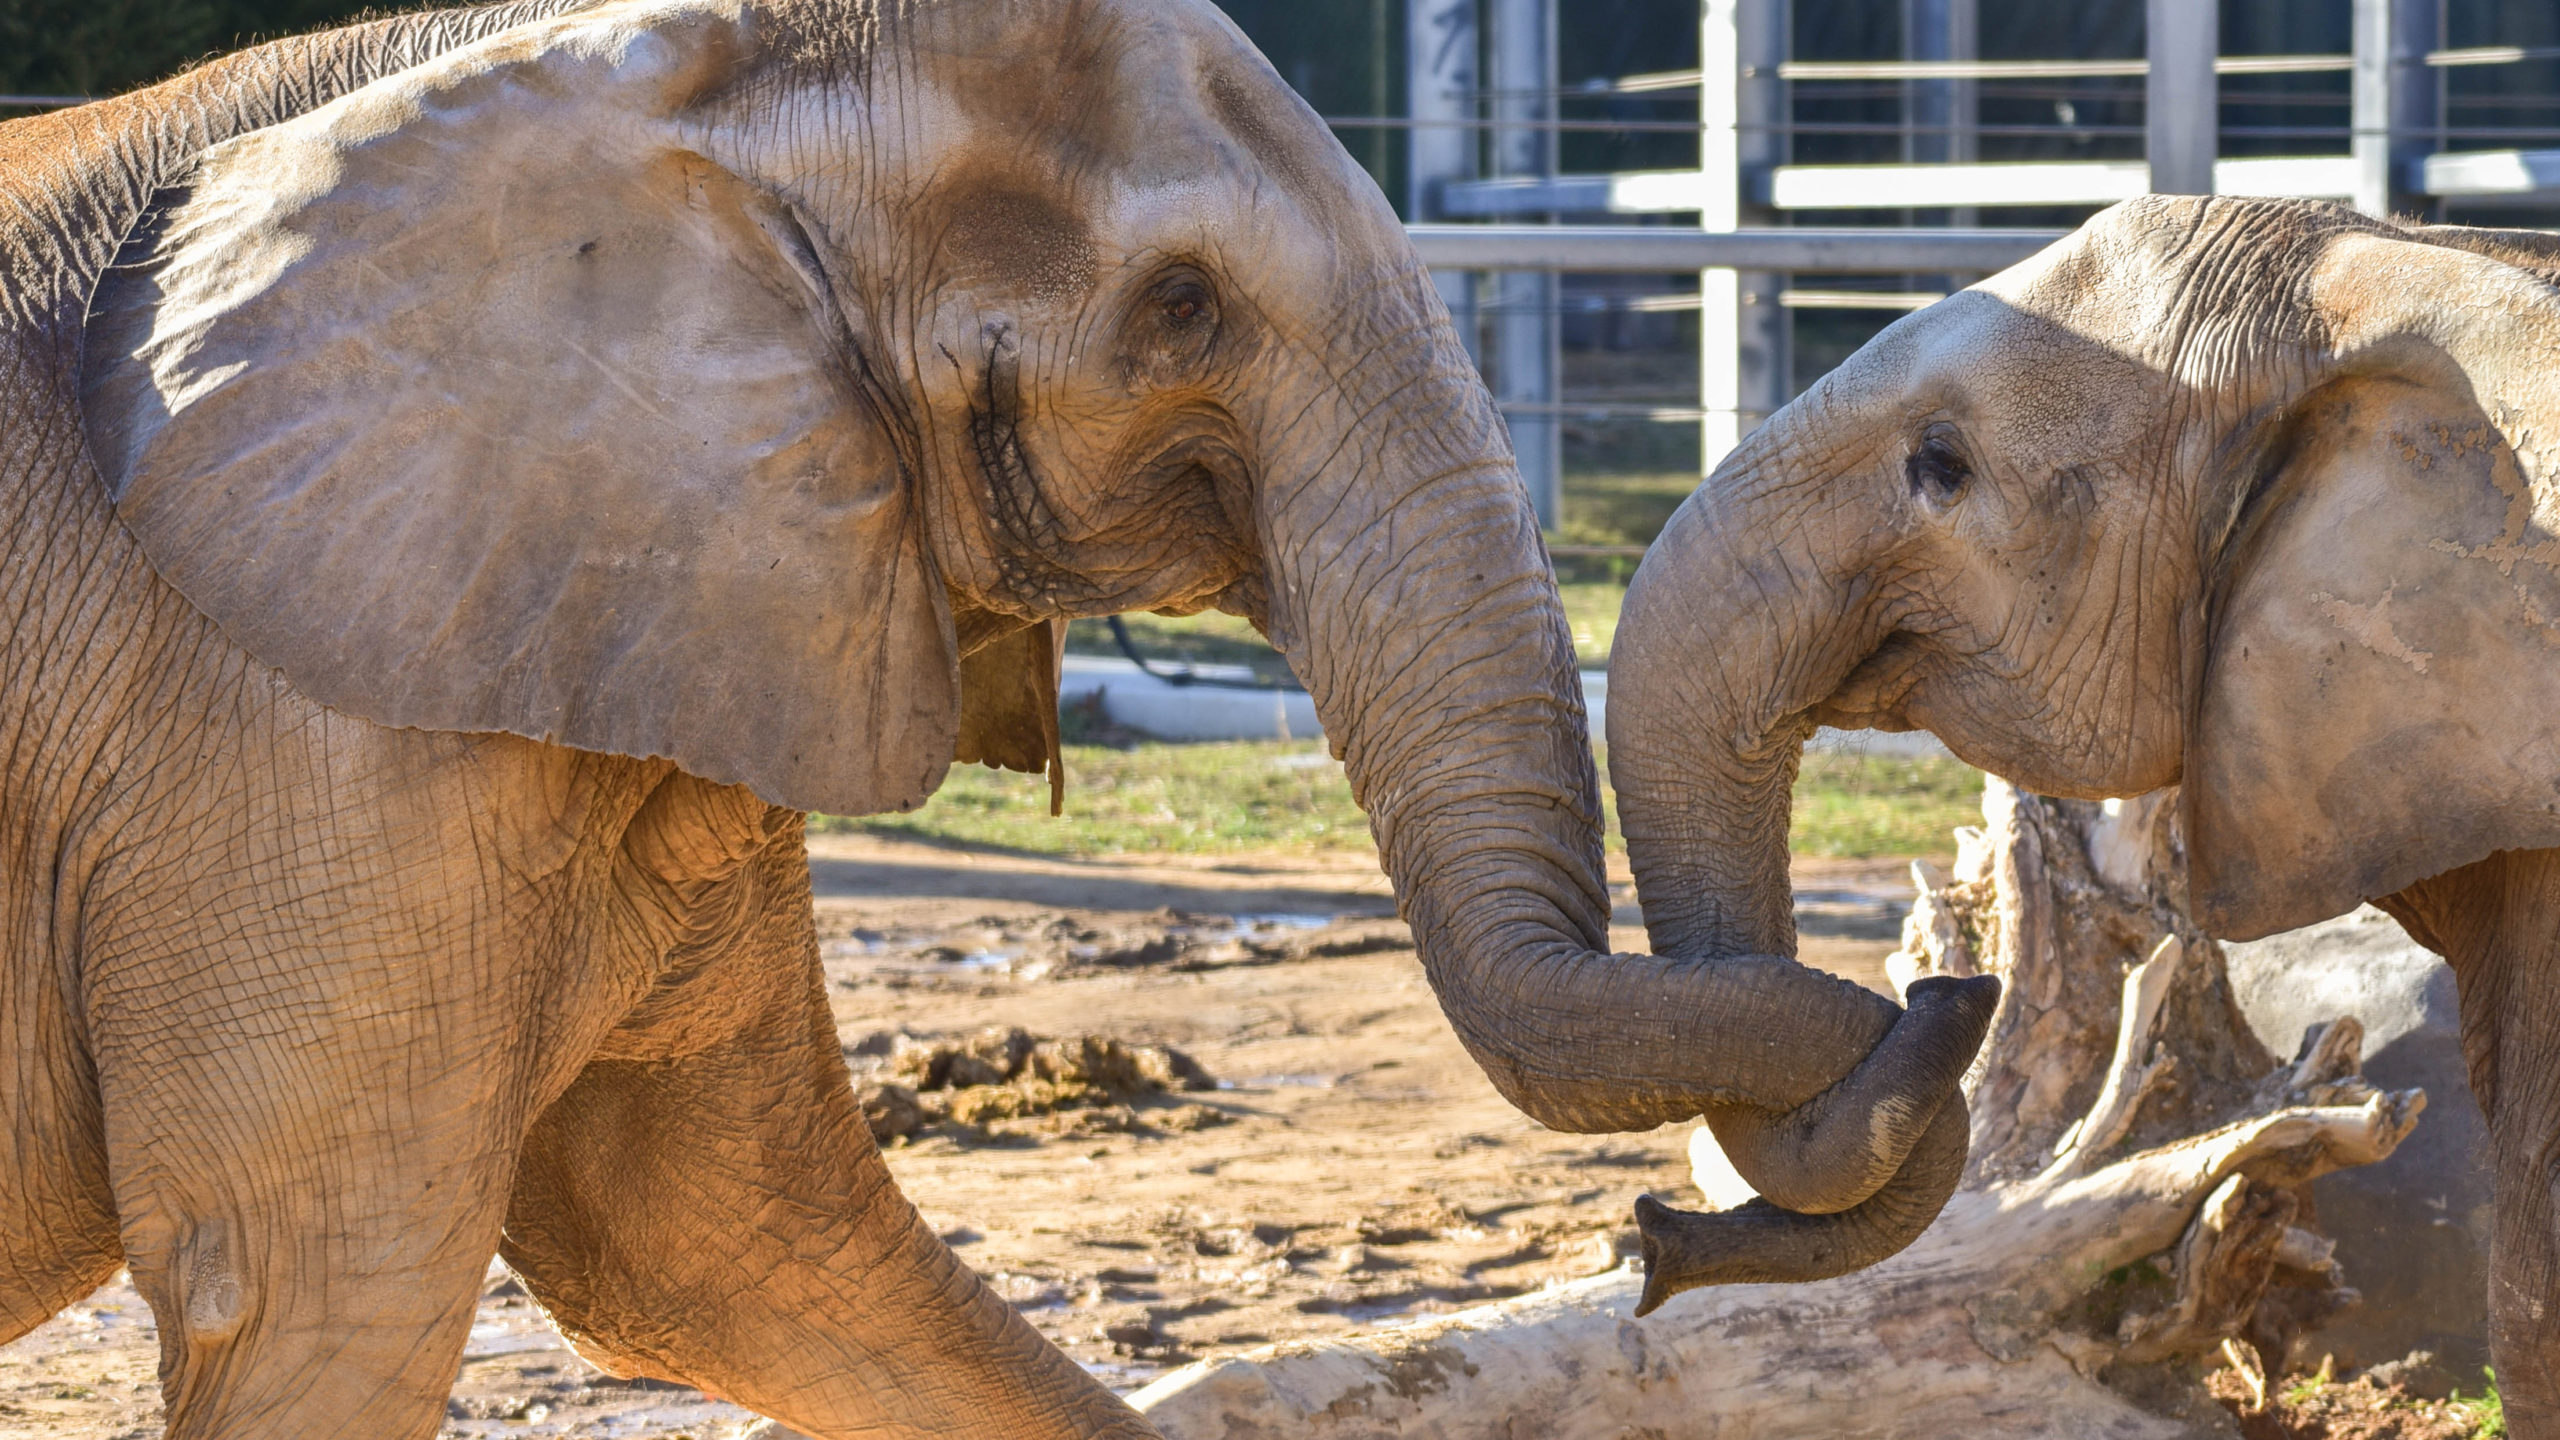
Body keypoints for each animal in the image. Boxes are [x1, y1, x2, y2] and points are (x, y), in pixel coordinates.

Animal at [0, 0, 1996, 1424]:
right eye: (1181, 306)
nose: (1949, 988)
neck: (636, 66)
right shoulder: (272, 715)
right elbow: (325, 1287)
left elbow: (734, 1245)